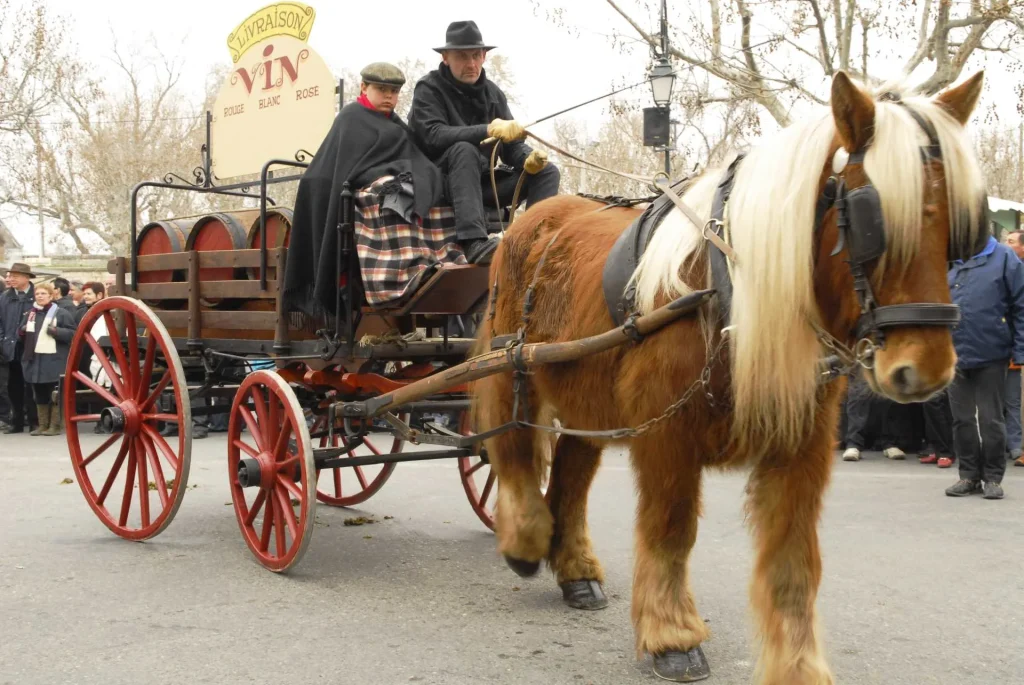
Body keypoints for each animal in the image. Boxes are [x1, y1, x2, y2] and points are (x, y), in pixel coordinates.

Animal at [473, 72, 991, 679]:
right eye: (871, 218)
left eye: (963, 224)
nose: (927, 369)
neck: (728, 289)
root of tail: (524, 220)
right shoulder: (668, 435)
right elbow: (671, 530)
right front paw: (672, 636)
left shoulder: (802, 444)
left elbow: (794, 561)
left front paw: (798, 666)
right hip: (514, 373)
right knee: (512, 453)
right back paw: (526, 540)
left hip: (588, 395)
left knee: (573, 471)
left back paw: (575, 568)